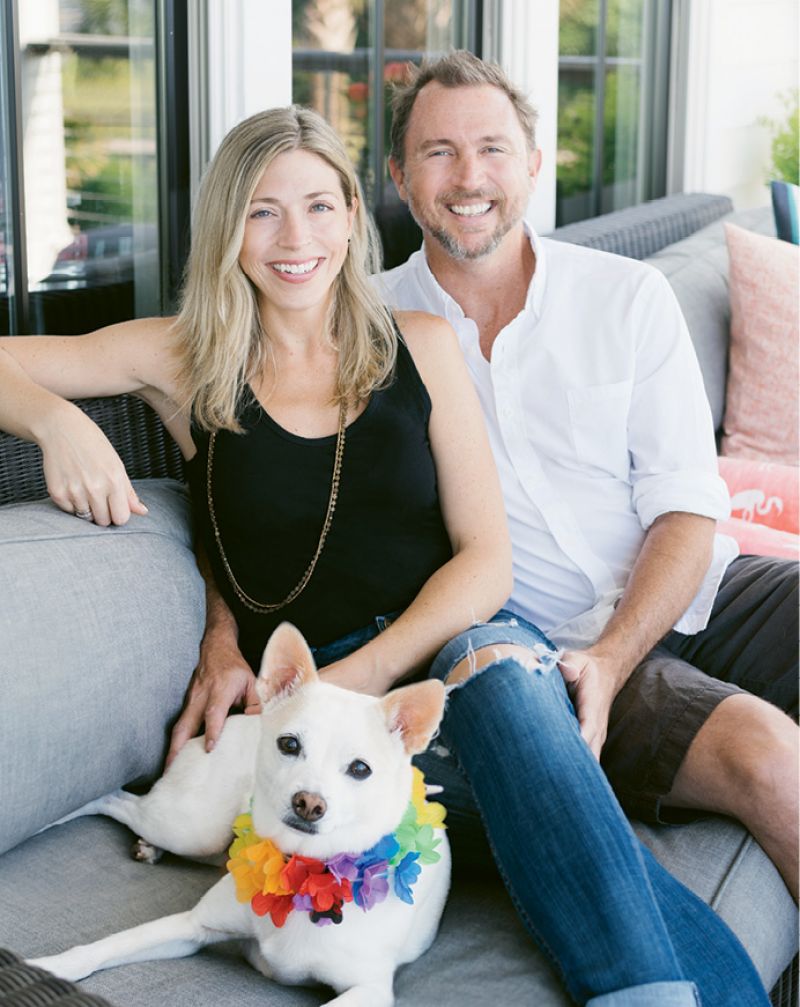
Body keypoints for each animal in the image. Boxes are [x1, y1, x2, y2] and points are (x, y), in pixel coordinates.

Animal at [29, 624, 449, 1002]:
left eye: (361, 769)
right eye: (289, 744)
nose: (309, 803)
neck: (300, 869)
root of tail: (239, 716)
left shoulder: (369, 990)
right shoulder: (191, 925)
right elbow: (104, 947)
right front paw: (46, 968)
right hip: (193, 828)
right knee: (114, 798)